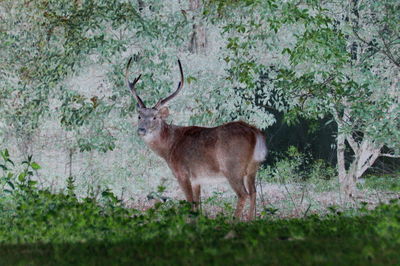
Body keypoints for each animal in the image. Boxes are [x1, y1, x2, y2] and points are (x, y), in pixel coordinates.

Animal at [125, 58, 268, 220]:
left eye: (155, 117)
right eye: (139, 116)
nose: (141, 130)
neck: (169, 147)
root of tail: (255, 132)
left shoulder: (182, 173)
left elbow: (190, 204)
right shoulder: (197, 179)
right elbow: (198, 206)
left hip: (233, 167)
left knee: (243, 194)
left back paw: (235, 221)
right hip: (253, 167)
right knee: (254, 192)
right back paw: (250, 220)